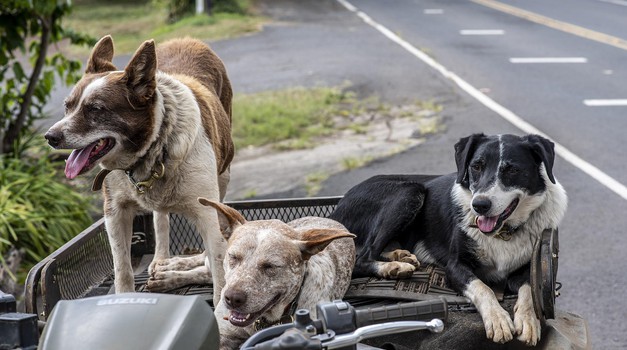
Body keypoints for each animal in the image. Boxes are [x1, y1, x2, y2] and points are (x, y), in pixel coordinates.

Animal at [44, 34, 236, 304]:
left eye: (95, 109)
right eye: (67, 106)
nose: (50, 137)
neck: (152, 149)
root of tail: (187, 39)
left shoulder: (208, 213)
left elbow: (219, 271)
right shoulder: (115, 212)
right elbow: (122, 269)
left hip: (224, 175)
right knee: (160, 218)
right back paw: (162, 261)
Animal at [332, 133, 568, 344]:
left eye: (512, 170)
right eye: (476, 166)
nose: (479, 205)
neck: (503, 232)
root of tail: (337, 210)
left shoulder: (529, 267)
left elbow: (529, 289)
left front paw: (529, 320)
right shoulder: (454, 267)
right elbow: (483, 288)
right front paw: (498, 320)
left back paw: (400, 257)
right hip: (409, 192)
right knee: (361, 258)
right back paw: (393, 267)